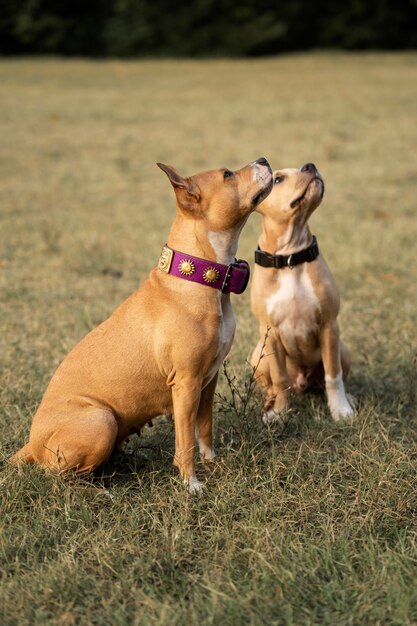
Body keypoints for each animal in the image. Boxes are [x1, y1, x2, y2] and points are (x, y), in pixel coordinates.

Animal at [9, 157, 272, 492]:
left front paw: (212, 462)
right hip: (101, 420)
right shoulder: (186, 384)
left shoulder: (208, 380)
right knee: (60, 474)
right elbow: (185, 440)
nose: (263, 160)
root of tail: (31, 443)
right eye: (227, 175)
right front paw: (191, 483)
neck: (200, 275)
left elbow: (204, 428)